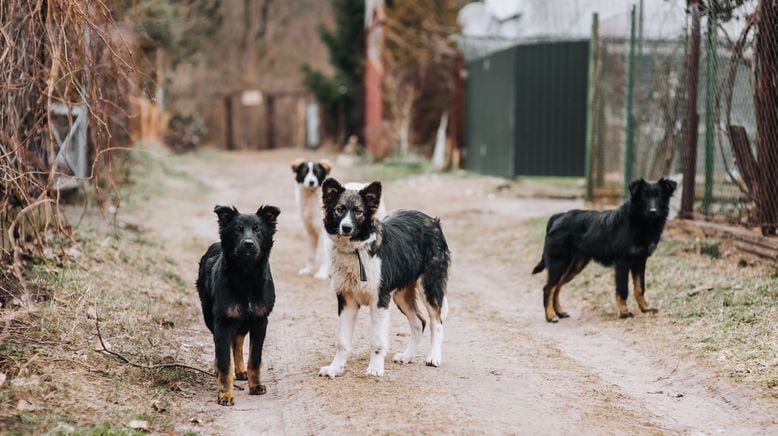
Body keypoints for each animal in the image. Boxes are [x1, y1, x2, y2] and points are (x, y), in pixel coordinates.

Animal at [197, 204, 278, 406]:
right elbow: (225, 361)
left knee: (238, 341)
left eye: (257, 229)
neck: (246, 276)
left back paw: (241, 371)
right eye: (237, 230)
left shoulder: (260, 321)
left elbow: (255, 358)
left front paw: (255, 385)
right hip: (210, 316)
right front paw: (225, 394)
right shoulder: (223, 321)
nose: (248, 243)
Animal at [316, 177, 448, 378]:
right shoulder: (346, 300)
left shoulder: (379, 300)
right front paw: (335, 368)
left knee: (436, 322)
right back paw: (408, 356)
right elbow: (342, 341)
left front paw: (375, 368)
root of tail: (432, 221)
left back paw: (434, 357)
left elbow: (377, 341)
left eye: (359, 211)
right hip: (400, 295)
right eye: (339, 209)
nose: (346, 228)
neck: (355, 250)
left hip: (429, 286)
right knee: (419, 323)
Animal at [532, 178, 676, 324]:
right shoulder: (622, 263)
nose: (653, 211)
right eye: (644, 196)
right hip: (559, 264)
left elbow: (640, 287)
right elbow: (623, 290)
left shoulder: (640, 262)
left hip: (575, 266)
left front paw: (645, 308)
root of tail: (558, 217)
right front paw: (624, 312)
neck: (638, 221)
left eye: (659, 196)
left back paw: (559, 312)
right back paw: (550, 315)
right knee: (548, 289)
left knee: (557, 287)